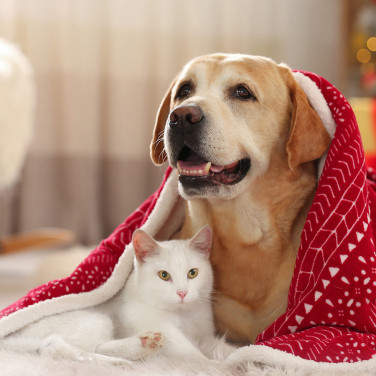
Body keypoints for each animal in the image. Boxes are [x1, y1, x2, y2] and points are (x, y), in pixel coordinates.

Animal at [0, 226, 235, 364]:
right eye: (164, 275)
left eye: (193, 273)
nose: (182, 293)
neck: (183, 314)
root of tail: (13, 336)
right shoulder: (159, 326)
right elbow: (193, 355)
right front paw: (219, 365)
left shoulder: (204, 335)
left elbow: (220, 346)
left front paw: (235, 354)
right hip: (95, 319)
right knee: (53, 346)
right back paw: (116, 361)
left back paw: (142, 346)